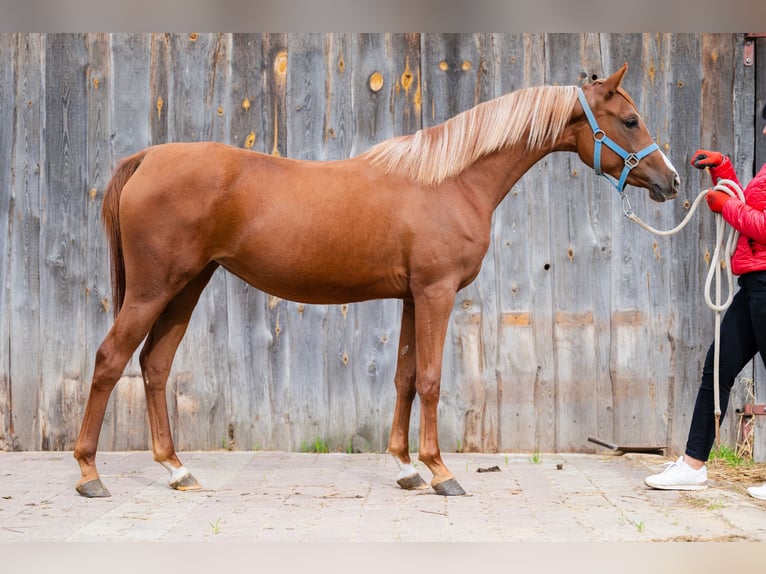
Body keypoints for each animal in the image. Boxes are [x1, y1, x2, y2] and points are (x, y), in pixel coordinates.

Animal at [75, 64, 680, 500]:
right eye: (630, 120)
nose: (671, 181)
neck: (449, 180)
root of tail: (147, 157)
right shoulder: (436, 293)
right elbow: (431, 379)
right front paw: (441, 473)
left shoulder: (413, 297)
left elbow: (405, 378)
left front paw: (406, 468)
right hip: (154, 288)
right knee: (110, 359)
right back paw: (89, 475)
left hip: (187, 286)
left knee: (155, 365)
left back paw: (177, 470)